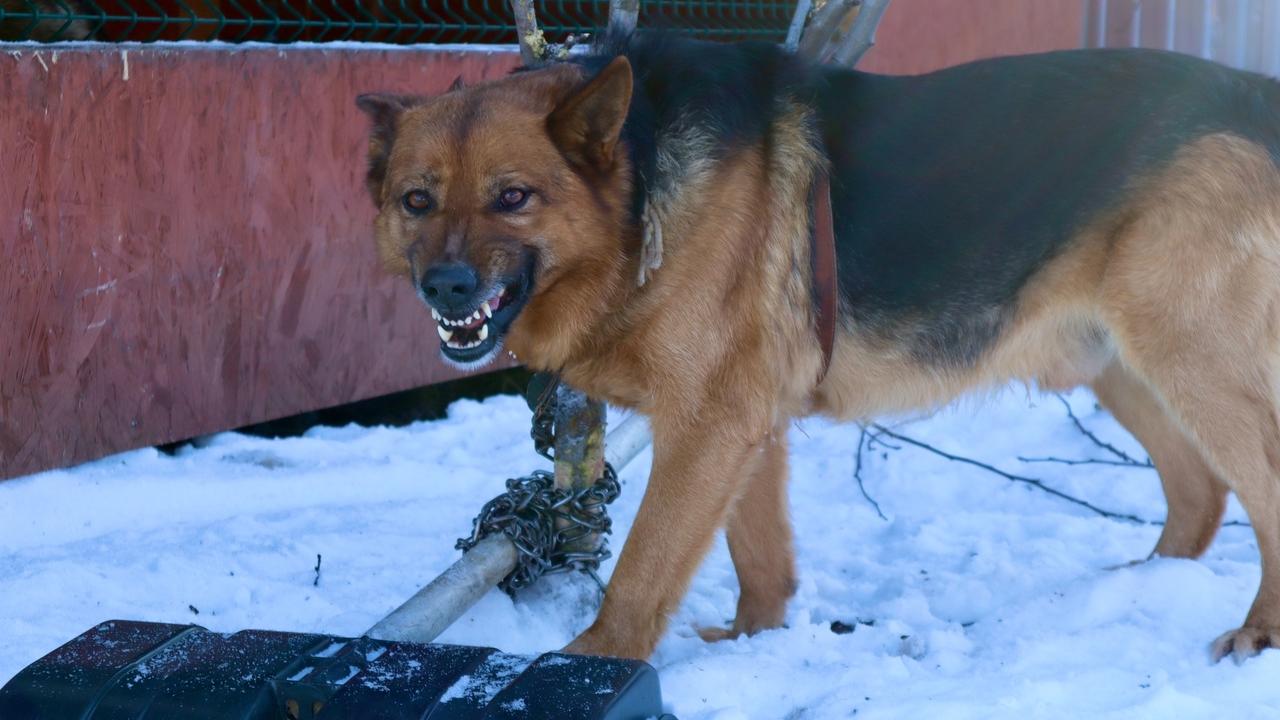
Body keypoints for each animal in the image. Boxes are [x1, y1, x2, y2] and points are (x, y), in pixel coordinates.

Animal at [355, 32, 1280, 661]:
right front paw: (751, 646)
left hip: (1189, 358)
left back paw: (1255, 633)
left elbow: (644, 570)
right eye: (415, 200)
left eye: (513, 197)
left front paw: (592, 664)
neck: (642, 188)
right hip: (1121, 365)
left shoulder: (709, 427)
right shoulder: (743, 426)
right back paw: (1140, 587)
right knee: (1200, 492)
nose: (446, 289)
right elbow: (762, 564)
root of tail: (1256, 96)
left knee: (1255, 490)